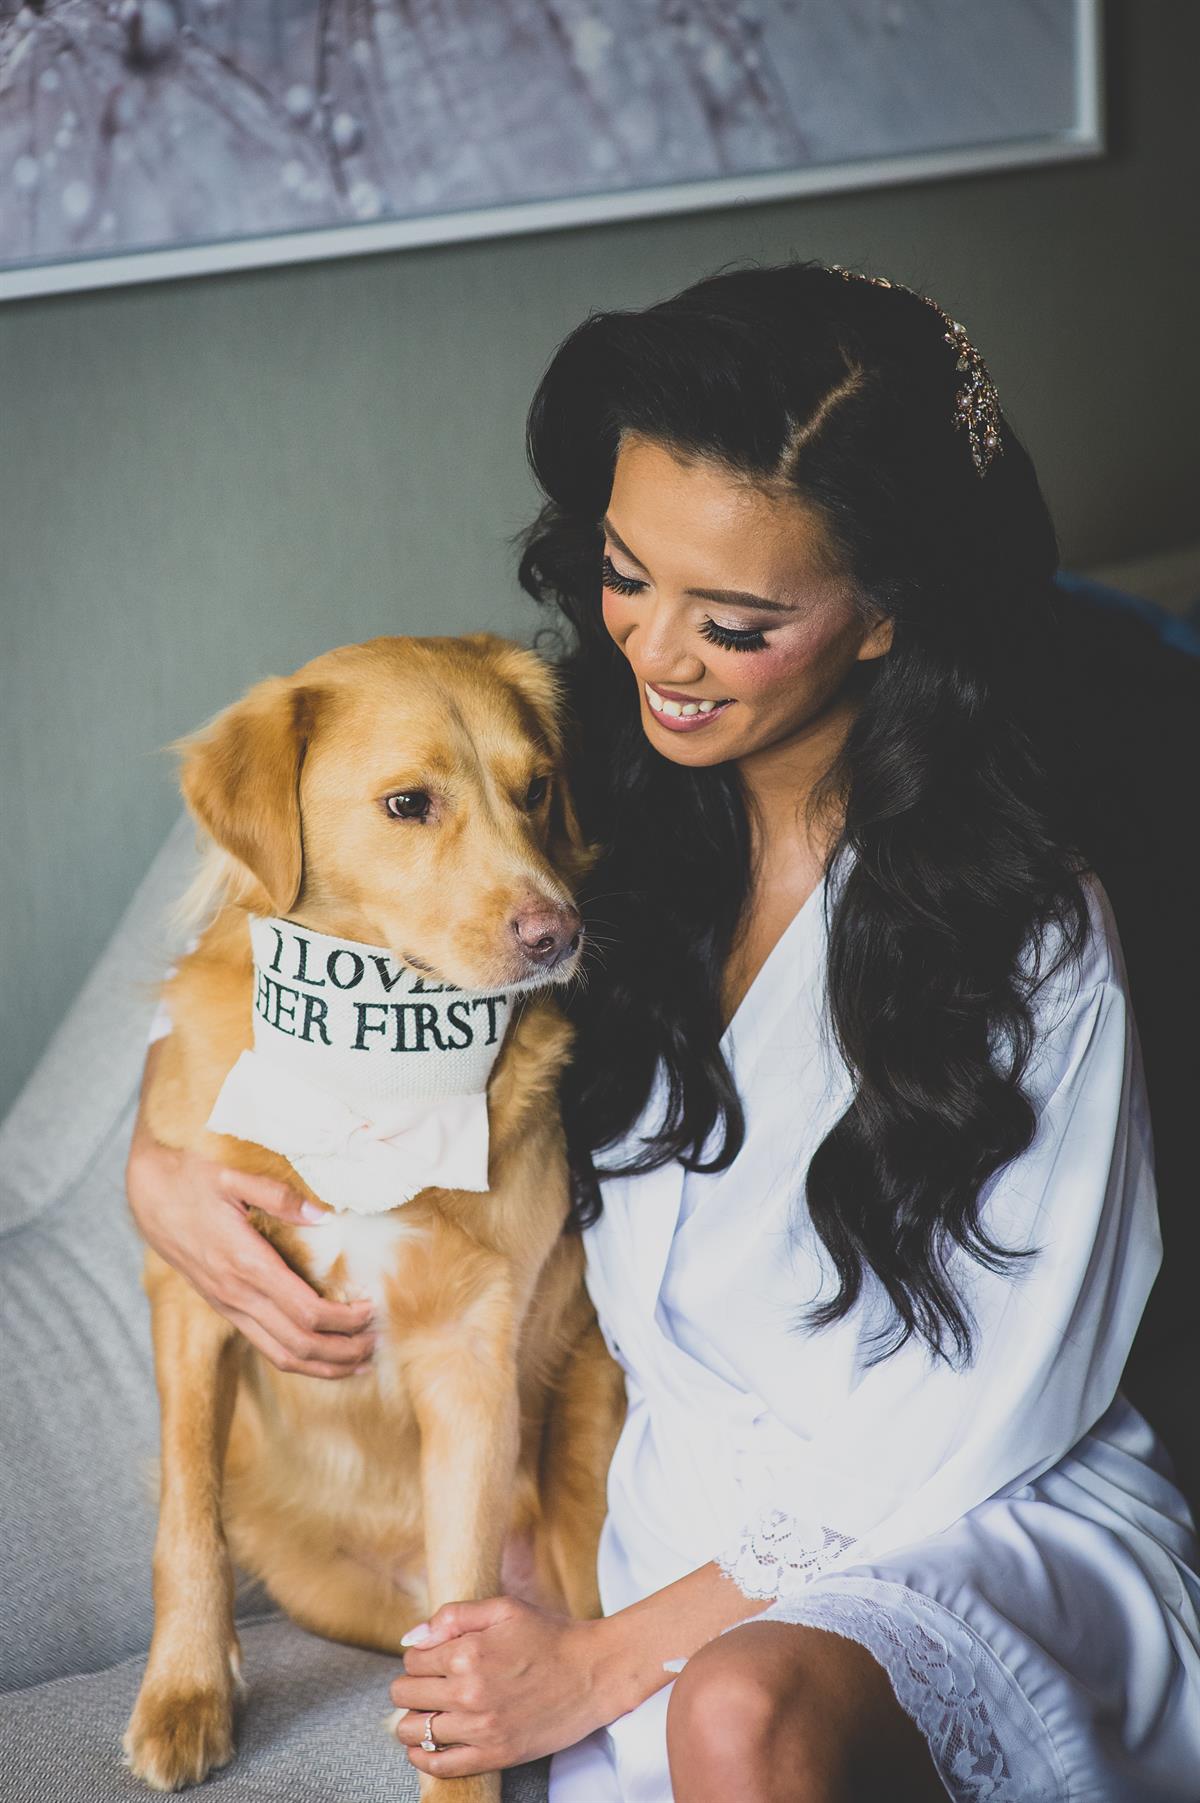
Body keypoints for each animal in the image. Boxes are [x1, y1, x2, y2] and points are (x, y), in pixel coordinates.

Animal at [122, 633, 625, 1801]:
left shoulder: (471, 1355)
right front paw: (186, 1691)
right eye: (408, 804)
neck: (368, 1068)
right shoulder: (197, 1290)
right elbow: (186, 1520)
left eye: (537, 788)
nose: (560, 933)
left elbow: (464, 1624)